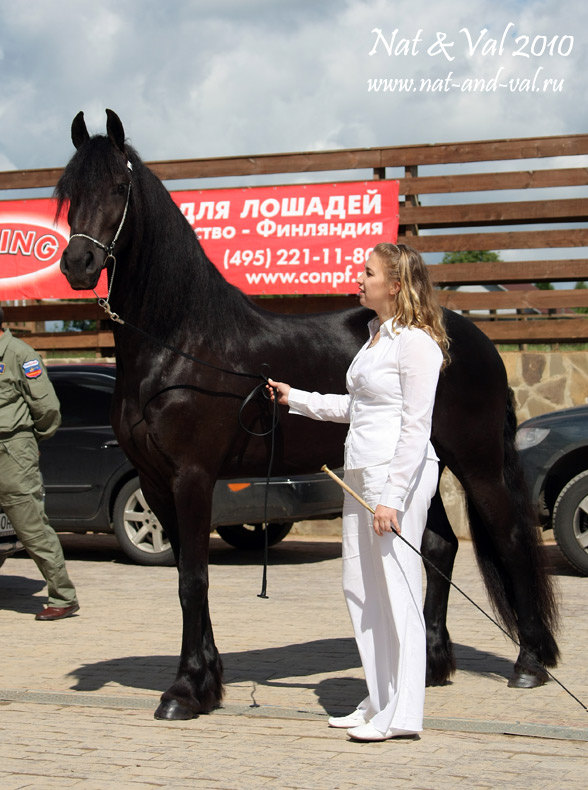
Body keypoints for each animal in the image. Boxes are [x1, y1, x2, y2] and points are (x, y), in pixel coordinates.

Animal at [57, 111, 560, 724]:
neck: (179, 344)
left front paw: (184, 691)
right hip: (423, 462)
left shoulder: (192, 478)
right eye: (69, 191)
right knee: (440, 546)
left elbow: (193, 579)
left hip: (477, 461)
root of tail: (472, 339)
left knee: (509, 538)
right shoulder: (155, 484)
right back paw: (432, 666)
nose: (77, 265)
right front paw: (208, 680)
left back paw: (529, 663)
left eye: (119, 187)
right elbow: (185, 577)